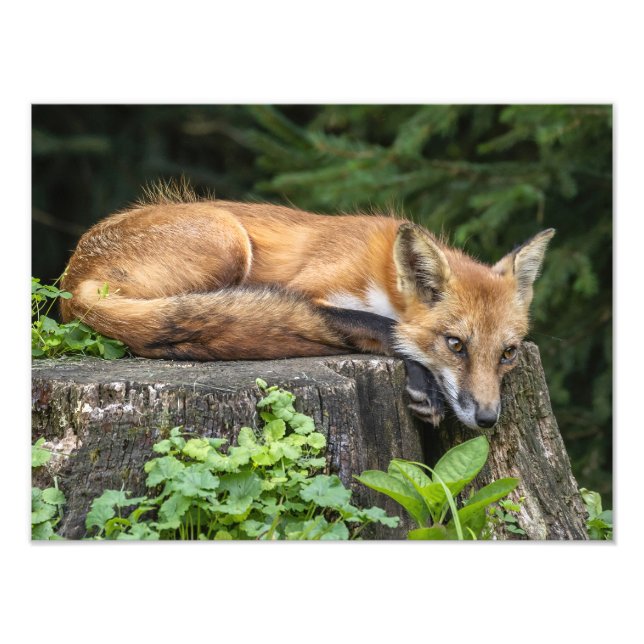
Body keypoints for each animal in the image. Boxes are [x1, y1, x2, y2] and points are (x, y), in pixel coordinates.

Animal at [60, 184, 555, 431]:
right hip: (227, 240)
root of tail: (72, 278)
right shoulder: (312, 290)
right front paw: (423, 382)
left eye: (508, 354)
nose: (488, 420)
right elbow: (385, 328)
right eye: (455, 345)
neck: (382, 278)